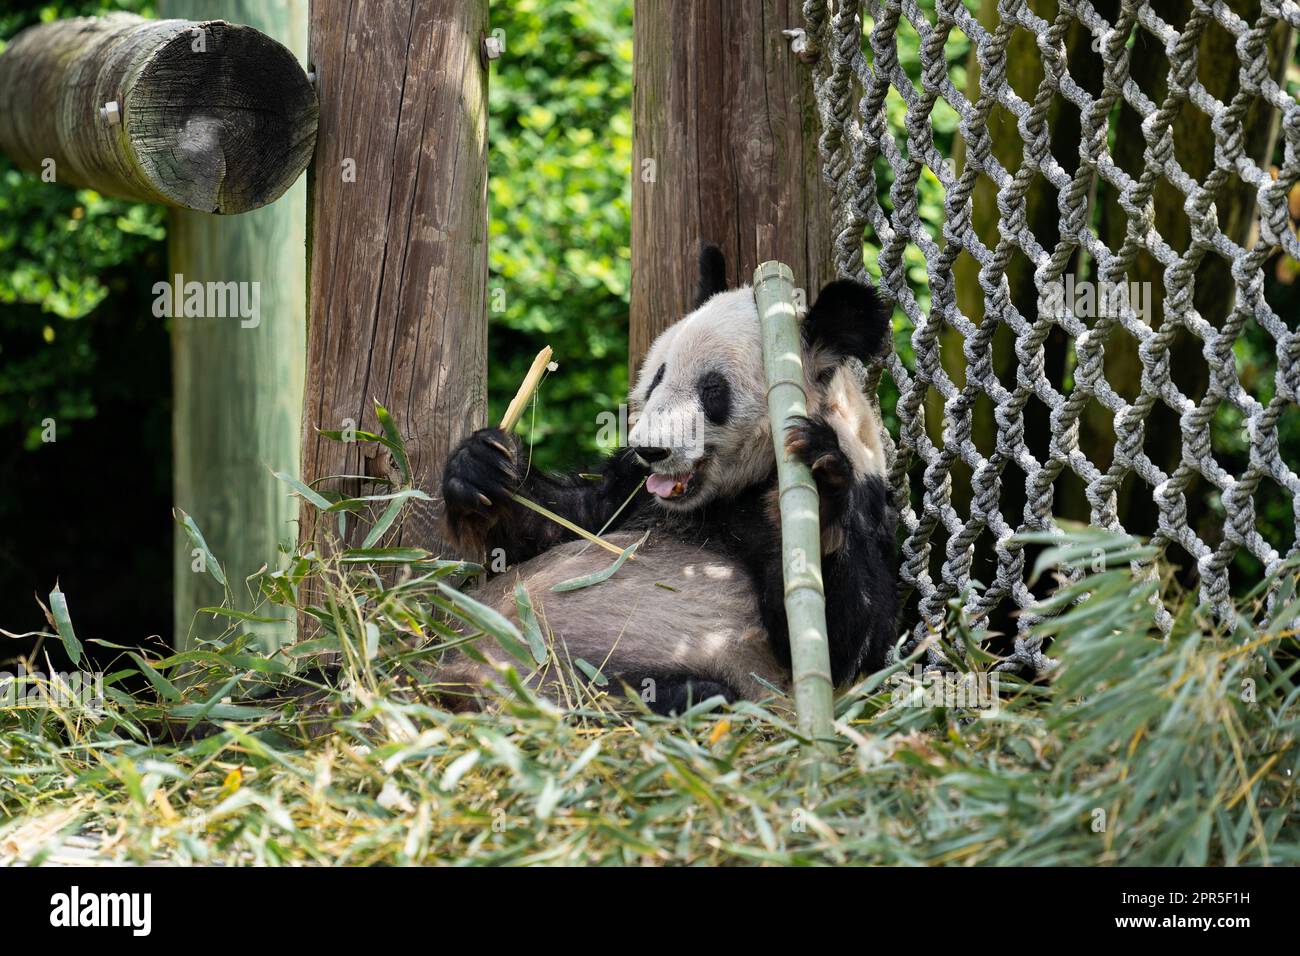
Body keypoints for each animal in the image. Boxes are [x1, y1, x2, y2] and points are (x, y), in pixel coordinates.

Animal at [436, 244, 894, 712]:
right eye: (658, 375)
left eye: (714, 390)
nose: (651, 449)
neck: (727, 494)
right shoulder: (632, 488)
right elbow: (563, 523)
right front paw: (481, 467)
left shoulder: (868, 500)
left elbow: (847, 641)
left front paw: (820, 489)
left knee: (687, 693)